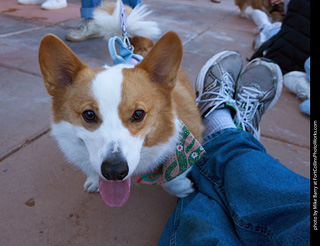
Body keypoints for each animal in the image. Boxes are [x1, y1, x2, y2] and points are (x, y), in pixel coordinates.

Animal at [37, 28, 202, 207]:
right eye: (89, 115)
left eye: (138, 114)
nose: (114, 172)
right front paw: (95, 180)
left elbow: (172, 176)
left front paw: (182, 187)